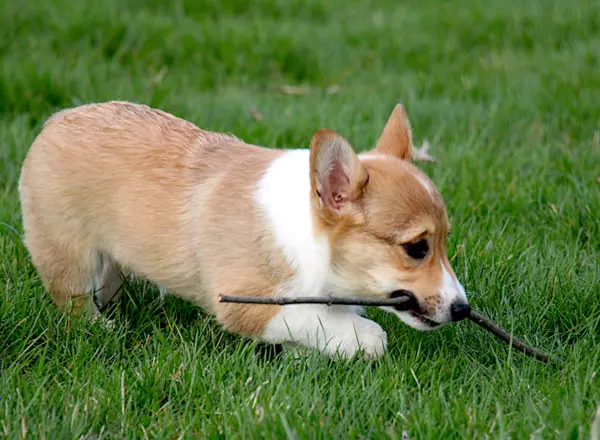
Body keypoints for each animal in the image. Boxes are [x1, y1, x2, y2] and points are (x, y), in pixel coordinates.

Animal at [17, 101, 468, 360]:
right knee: (73, 299)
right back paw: (101, 328)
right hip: (69, 254)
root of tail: (56, 120)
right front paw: (361, 339)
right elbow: (320, 321)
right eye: (416, 248)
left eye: (444, 242)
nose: (463, 309)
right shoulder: (246, 304)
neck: (313, 241)